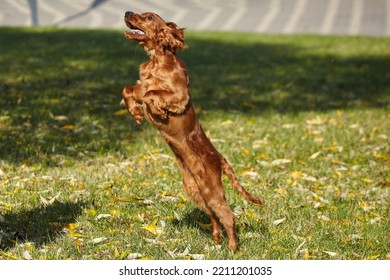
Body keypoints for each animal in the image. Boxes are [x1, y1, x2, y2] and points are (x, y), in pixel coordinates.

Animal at [120, 11, 264, 252]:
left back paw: (232, 247)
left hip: (212, 190)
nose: (127, 13)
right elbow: (130, 88)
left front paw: (156, 110)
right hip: (195, 189)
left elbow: (152, 93)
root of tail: (220, 158)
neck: (157, 59)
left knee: (228, 216)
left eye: (149, 17)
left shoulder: (180, 96)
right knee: (214, 215)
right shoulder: (140, 85)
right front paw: (136, 112)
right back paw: (216, 239)